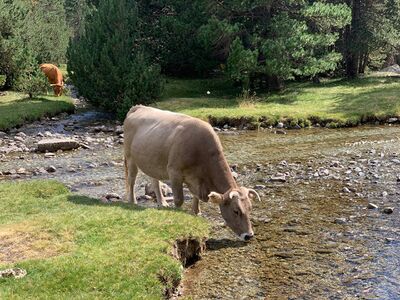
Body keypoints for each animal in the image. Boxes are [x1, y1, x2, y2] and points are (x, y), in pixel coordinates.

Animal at [123, 105, 260, 241]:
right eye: (236, 211)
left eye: (250, 208)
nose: (249, 235)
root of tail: (138, 107)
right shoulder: (174, 172)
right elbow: (179, 199)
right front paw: (177, 213)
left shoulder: (197, 180)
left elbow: (196, 196)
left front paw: (196, 212)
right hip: (130, 157)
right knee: (131, 180)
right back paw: (133, 201)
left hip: (152, 163)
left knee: (154, 181)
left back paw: (162, 203)